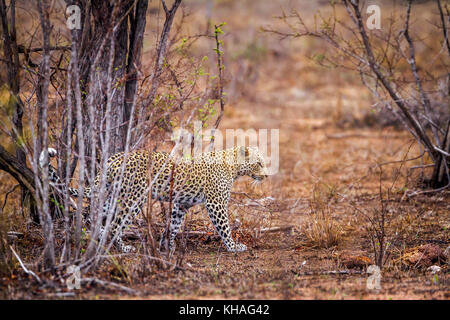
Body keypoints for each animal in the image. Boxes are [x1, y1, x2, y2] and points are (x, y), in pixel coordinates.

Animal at [40, 146, 268, 254]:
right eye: (259, 163)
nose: (266, 176)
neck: (233, 166)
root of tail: (113, 159)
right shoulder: (216, 203)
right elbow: (224, 227)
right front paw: (233, 246)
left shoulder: (181, 204)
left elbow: (174, 224)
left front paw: (167, 245)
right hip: (134, 199)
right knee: (115, 225)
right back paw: (122, 248)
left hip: (112, 196)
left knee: (95, 219)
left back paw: (96, 238)